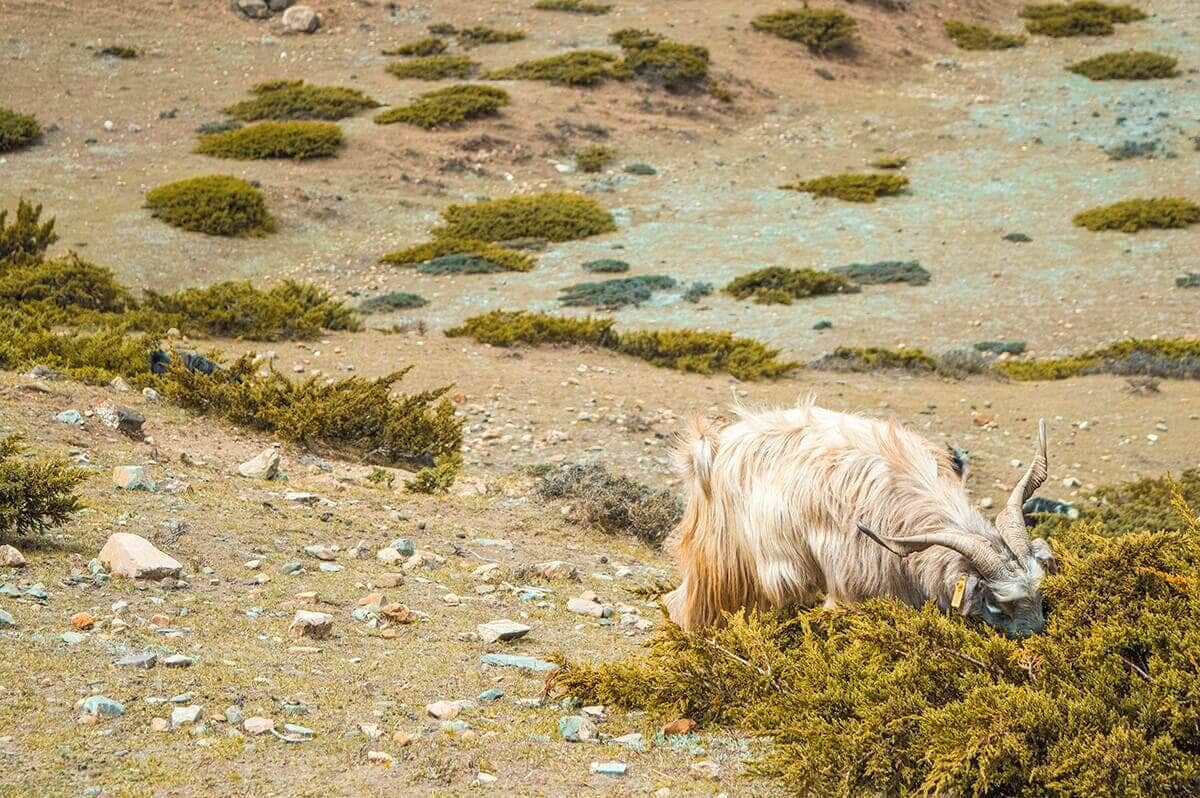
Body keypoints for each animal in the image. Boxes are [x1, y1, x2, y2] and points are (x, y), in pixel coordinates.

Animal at [663, 400, 1056, 637]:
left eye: (1039, 595)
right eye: (996, 604)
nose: (1035, 635)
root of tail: (711, 446)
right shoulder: (850, 589)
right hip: (723, 571)